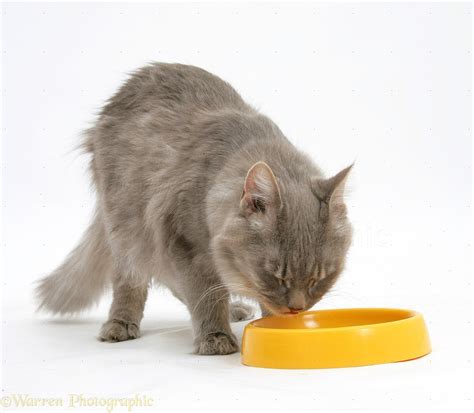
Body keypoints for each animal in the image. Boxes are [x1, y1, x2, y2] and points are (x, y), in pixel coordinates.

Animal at [36, 63, 352, 354]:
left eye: (319, 278)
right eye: (276, 275)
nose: (297, 308)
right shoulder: (184, 243)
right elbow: (204, 295)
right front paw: (215, 338)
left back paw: (234, 309)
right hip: (126, 225)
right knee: (131, 279)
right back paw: (120, 324)